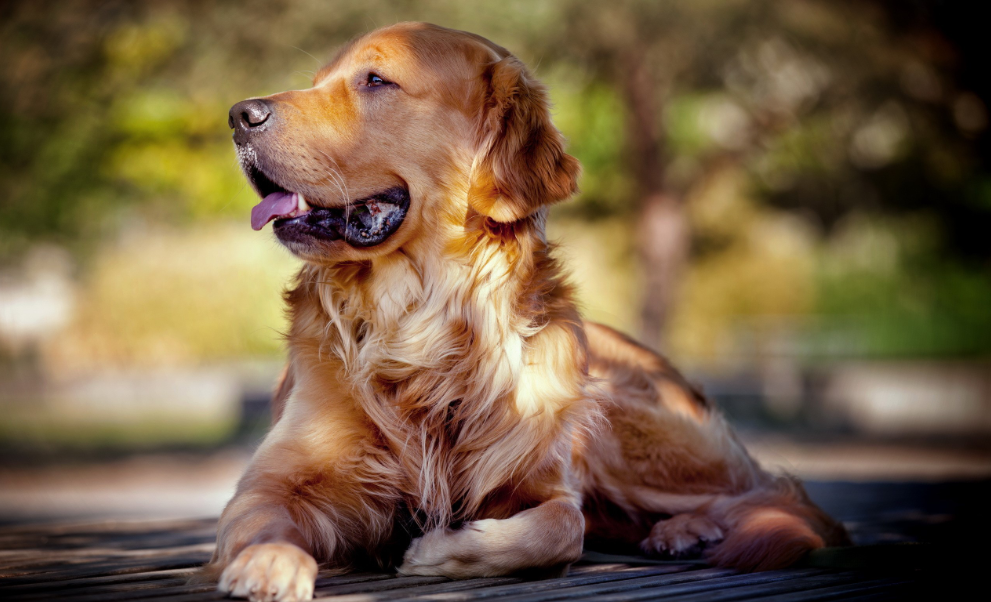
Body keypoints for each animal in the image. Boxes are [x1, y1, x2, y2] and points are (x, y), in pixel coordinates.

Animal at [205, 22, 848, 600]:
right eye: (317, 81)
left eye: (376, 81)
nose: (239, 115)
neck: (421, 321)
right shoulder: (273, 481)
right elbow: (261, 518)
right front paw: (269, 560)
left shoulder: (545, 478)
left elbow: (560, 527)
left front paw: (437, 552)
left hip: (616, 417)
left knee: (773, 496)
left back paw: (690, 527)